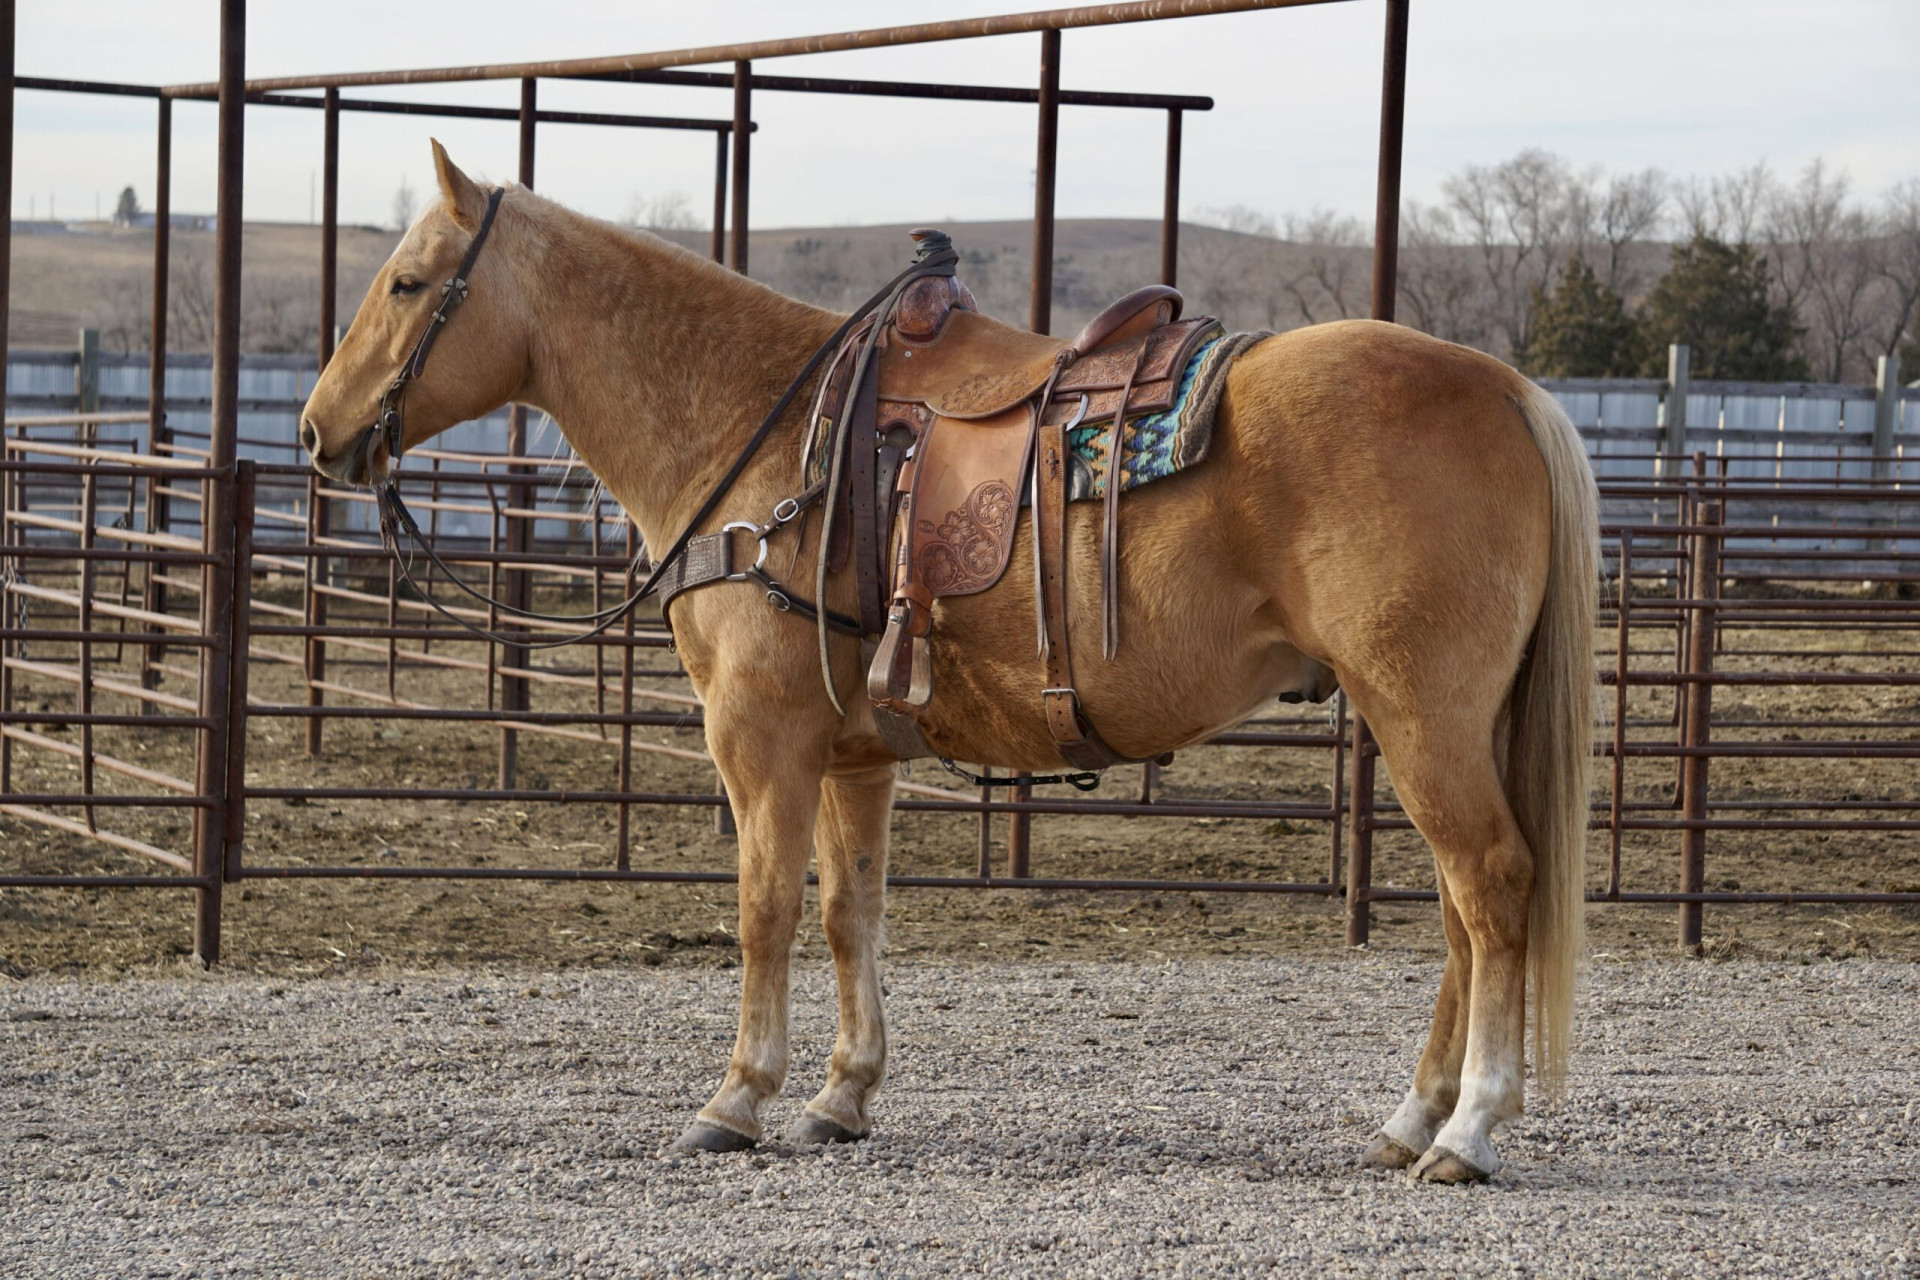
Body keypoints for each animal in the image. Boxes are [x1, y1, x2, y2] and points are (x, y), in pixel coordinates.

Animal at [299, 144, 1597, 1189]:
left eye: (407, 282)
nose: (318, 431)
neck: (771, 438)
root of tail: (1510, 388)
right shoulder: (853, 754)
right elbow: (850, 912)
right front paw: (841, 1093)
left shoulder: (759, 738)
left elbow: (765, 908)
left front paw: (737, 1096)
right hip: (1430, 722)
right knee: (1461, 912)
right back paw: (1410, 1116)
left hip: (1424, 716)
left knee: (1489, 884)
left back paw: (1468, 1130)